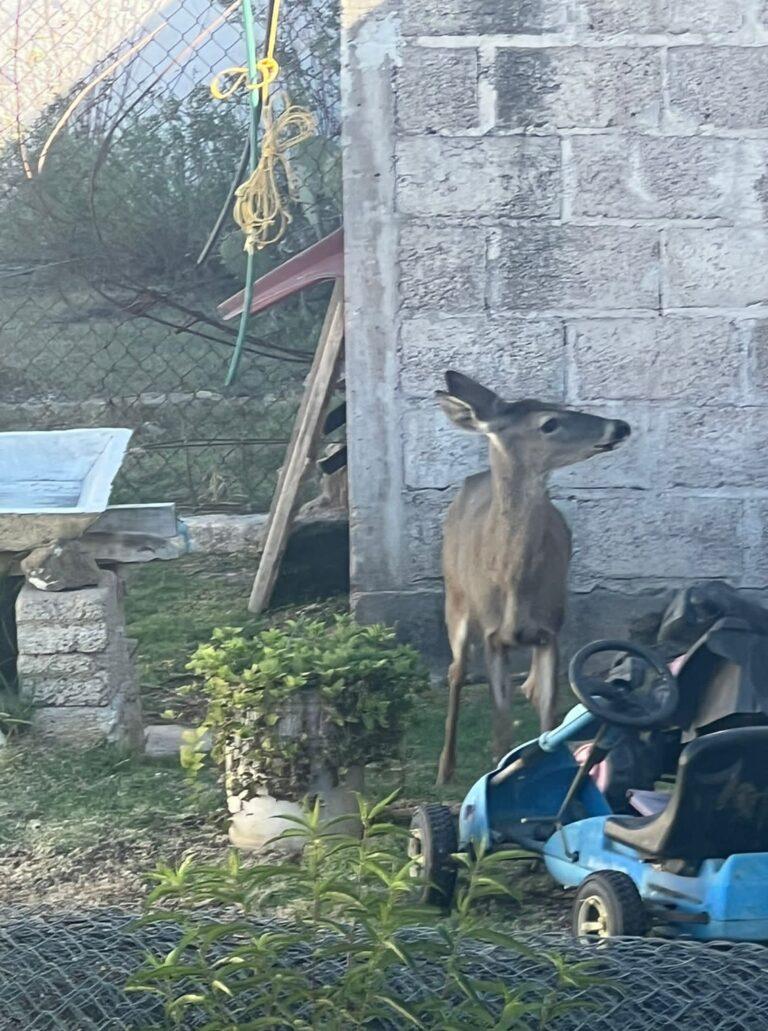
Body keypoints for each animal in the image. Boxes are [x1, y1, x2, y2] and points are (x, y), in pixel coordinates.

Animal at [435, 375, 630, 783]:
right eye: (549, 423)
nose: (619, 426)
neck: (513, 581)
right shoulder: (492, 636)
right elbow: (501, 728)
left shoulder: (551, 630)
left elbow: (548, 719)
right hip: (455, 597)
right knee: (456, 670)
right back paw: (445, 769)